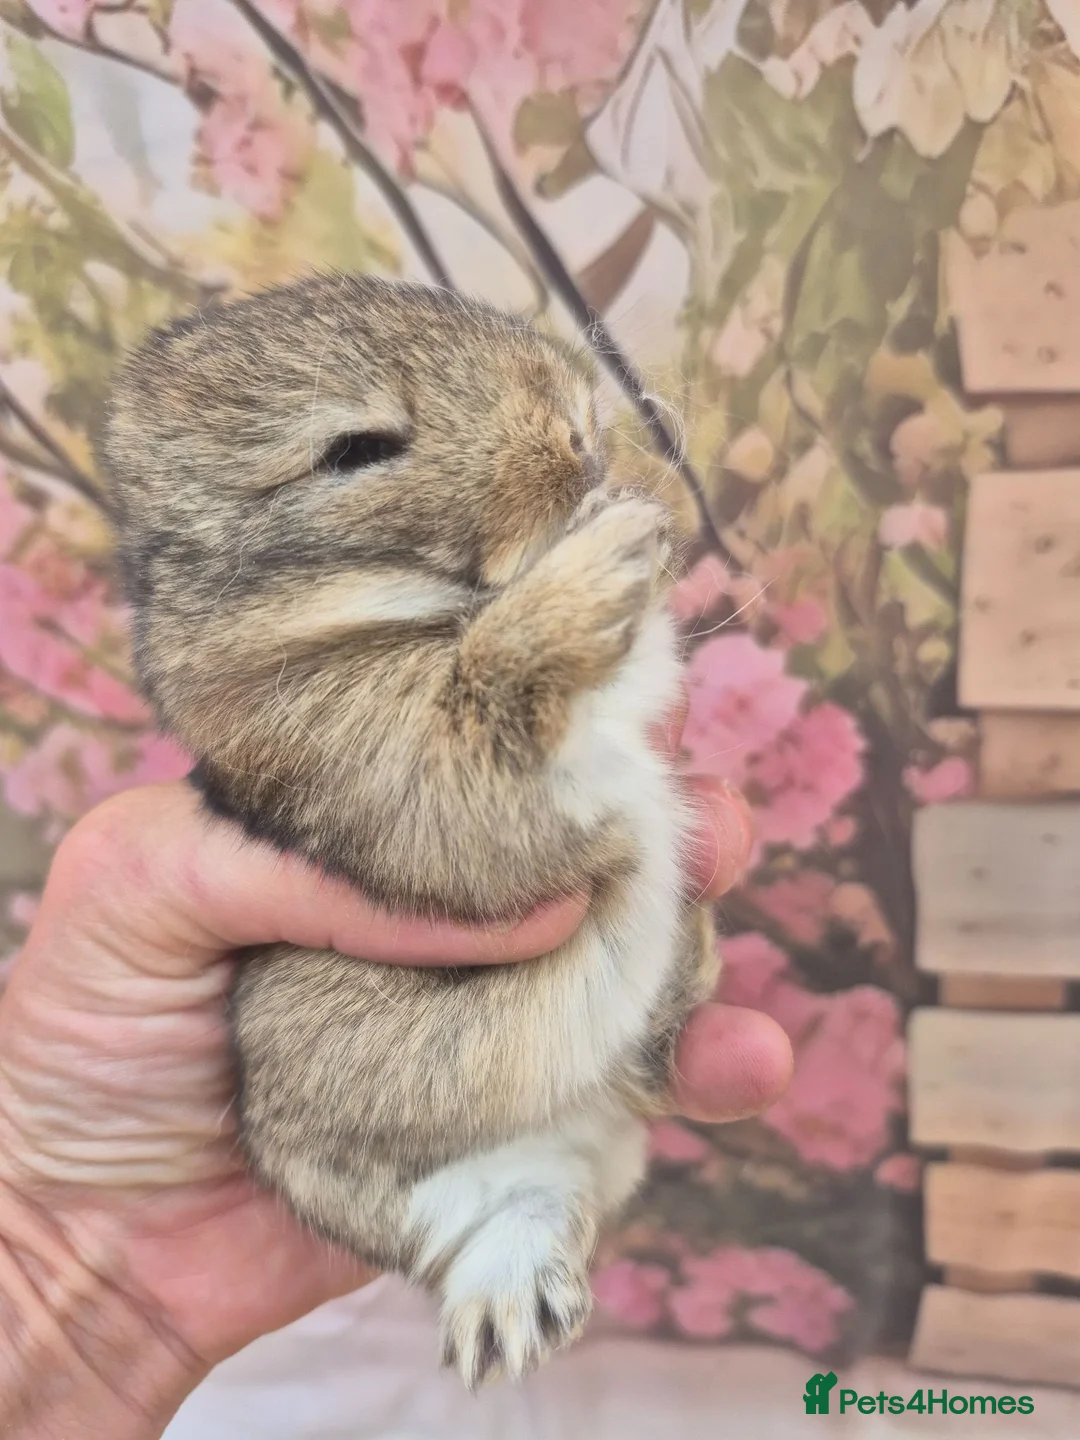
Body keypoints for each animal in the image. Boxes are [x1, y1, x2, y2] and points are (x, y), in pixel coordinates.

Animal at [99, 273, 717, 1390]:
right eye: (354, 449)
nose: (577, 422)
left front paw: (631, 517)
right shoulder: (415, 767)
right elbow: (497, 691)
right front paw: (613, 547)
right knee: (490, 1228)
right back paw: (506, 1319)